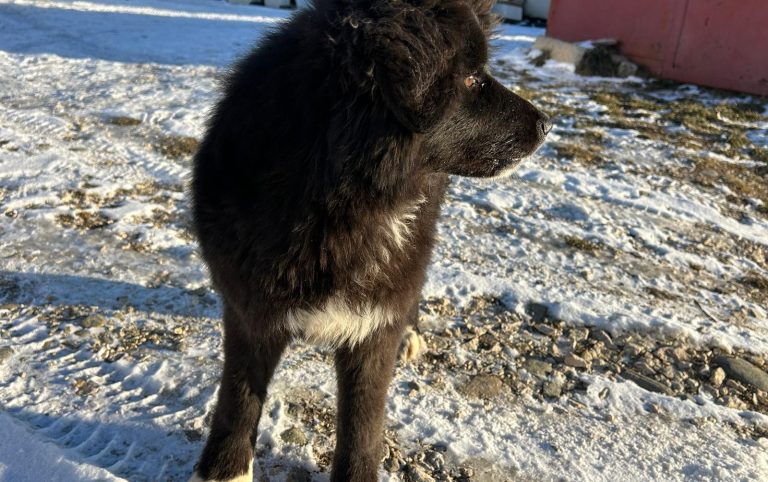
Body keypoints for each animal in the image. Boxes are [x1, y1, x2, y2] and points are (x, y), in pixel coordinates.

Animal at [189, 0, 550, 480]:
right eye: (472, 78)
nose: (547, 125)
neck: (334, 206)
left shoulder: (374, 324)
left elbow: (362, 425)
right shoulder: (250, 308)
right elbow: (238, 398)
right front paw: (224, 468)